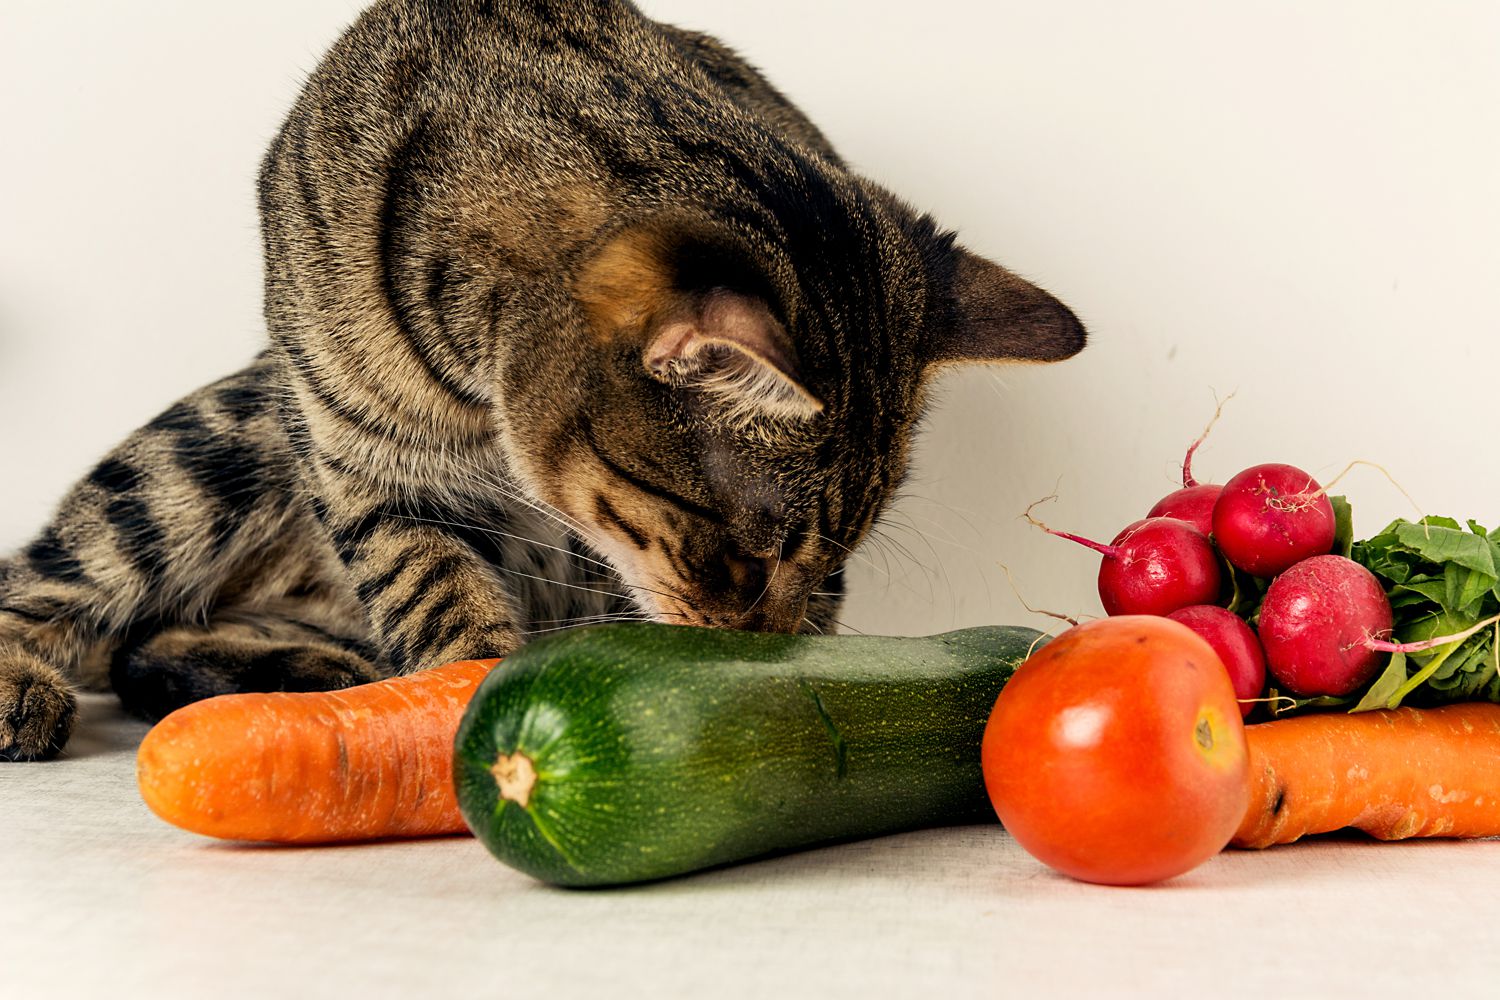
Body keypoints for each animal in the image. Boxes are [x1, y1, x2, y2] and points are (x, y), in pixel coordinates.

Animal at [0, 0, 1080, 761]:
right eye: (736, 561)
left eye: (828, 567)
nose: (764, 650)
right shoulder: (360, 470)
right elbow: (437, 600)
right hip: (222, 435)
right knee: (57, 585)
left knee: (158, 638)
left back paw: (312, 669)